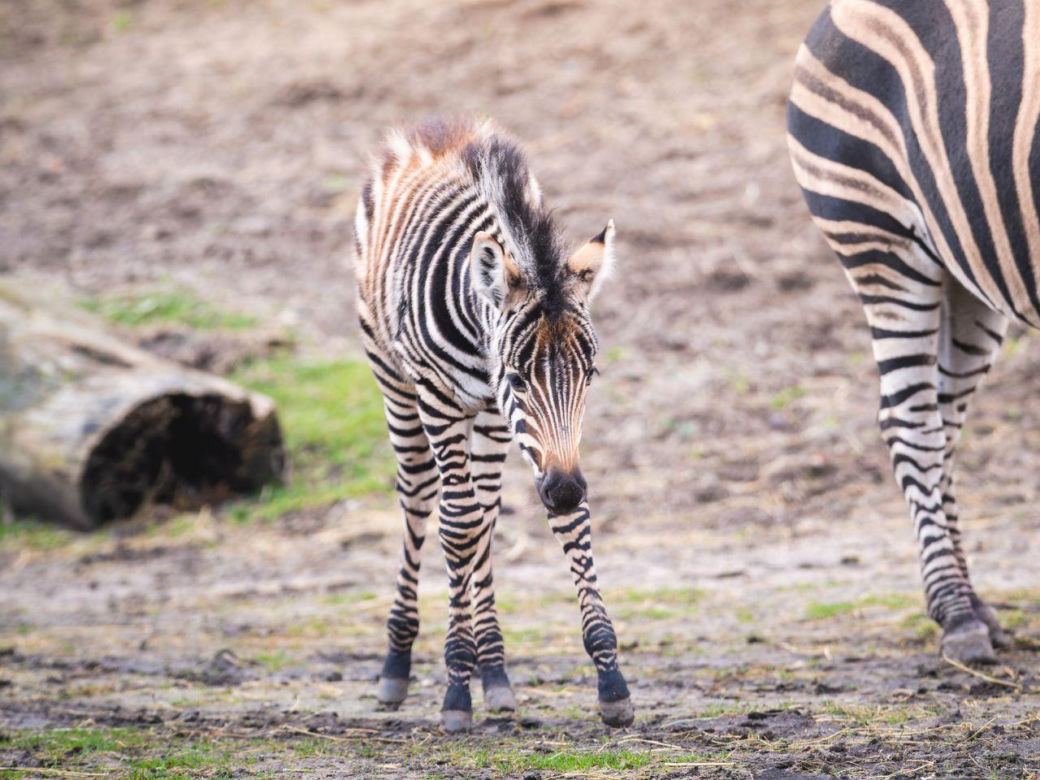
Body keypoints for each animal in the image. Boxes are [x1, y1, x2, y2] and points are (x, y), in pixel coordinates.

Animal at [353, 117, 634, 731]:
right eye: (519, 375)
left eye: (591, 374)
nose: (565, 487)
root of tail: (434, 129)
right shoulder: (440, 399)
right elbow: (455, 526)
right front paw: (456, 692)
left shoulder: (519, 428)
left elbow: (561, 526)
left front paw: (610, 679)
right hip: (395, 382)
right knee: (420, 500)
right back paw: (397, 665)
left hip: (486, 423)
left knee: (482, 515)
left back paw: (496, 674)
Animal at [786, 0, 1040, 663]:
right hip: (879, 240)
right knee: (911, 423)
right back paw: (958, 616)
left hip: (970, 269)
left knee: (943, 419)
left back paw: (972, 602)